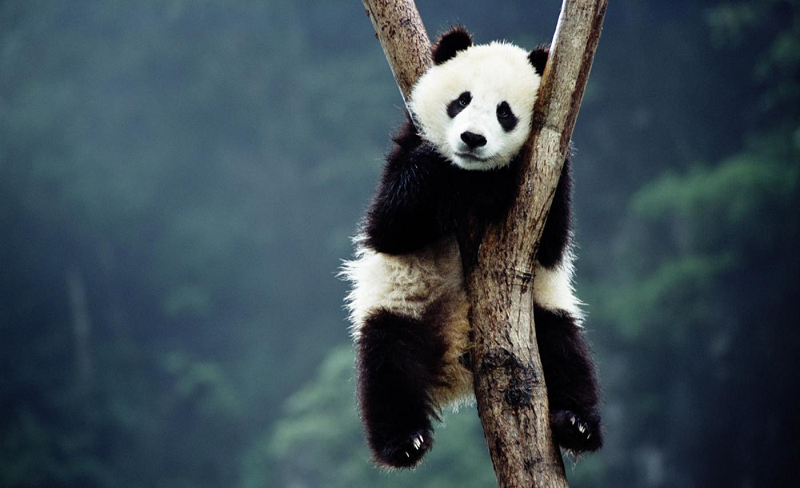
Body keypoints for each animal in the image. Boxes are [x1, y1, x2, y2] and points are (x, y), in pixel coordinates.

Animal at [342, 26, 602, 469]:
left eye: (505, 112)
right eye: (461, 100)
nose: (471, 139)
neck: (470, 175)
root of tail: (455, 368)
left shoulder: (548, 173)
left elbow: (551, 244)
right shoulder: (406, 150)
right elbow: (389, 225)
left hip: (541, 314)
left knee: (566, 352)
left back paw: (577, 425)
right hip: (401, 306)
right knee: (386, 366)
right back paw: (404, 442)